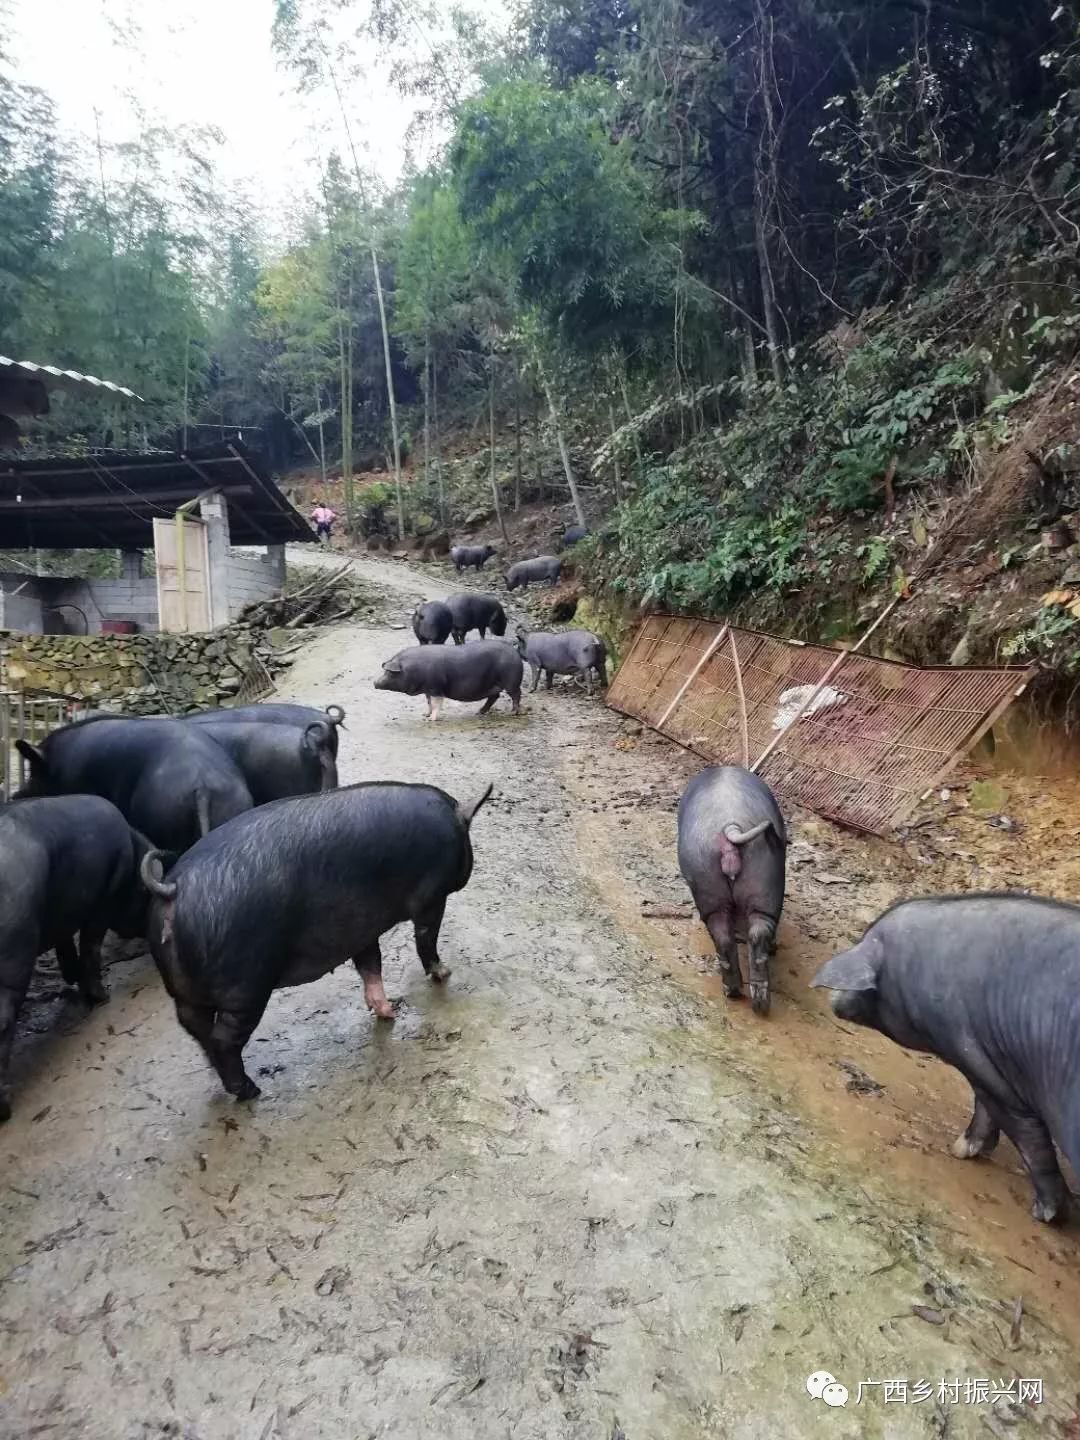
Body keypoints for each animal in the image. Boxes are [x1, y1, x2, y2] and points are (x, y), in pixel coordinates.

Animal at [0, 794, 156, 1117]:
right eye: (146, 895)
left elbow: (66, 942)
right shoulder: (102, 903)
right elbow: (91, 943)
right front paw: (102, 997)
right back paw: (4, 1109)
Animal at [15, 714, 253, 846]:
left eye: (33, 773)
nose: (15, 795)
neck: (58, 764)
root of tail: (202, 786)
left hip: (159, 815)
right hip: (230, 808)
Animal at [142, 783, 495, 1094]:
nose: (447, 973)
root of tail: (173, 890)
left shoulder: (361, 927)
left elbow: (371, 963)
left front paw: (388, 1011)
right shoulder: (431, 898)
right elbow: (426, 939)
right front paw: (444, 973)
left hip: (187, 994)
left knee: (197, 1030)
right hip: (245, 985)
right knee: (223, 1039)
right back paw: (250, 1091)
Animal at [676, 771, 789, 1019]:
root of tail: (730, 826)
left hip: (709, 883)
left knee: (725, 937)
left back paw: (738, 993)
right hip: (765, 890)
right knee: (755, 932)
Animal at [817, 892, 1080, 1221]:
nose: (832, 996)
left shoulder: (973, 1056)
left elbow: (1025, 1134)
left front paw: (1044, 1215)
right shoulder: (984, 1062)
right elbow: (985, 1107)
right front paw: (961, 1150)